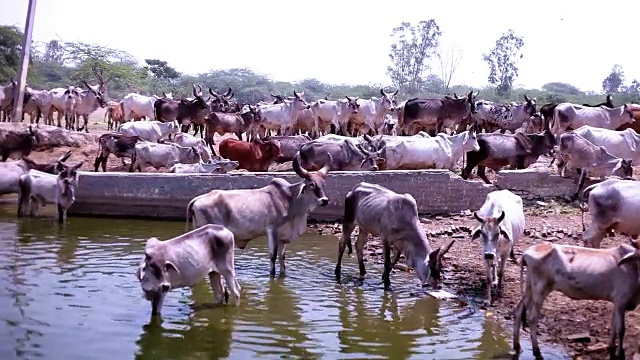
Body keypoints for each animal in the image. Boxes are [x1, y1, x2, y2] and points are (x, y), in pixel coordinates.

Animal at [185, 153, 332, 276]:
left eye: (324, 184)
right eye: (311, 184)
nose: (324, 200)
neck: (289, 199)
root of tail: (198, 199)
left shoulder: (282, 237)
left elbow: (282, 258)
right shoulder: (272, 230)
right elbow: (273, 256)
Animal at [512, 240, 640, 358]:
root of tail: (527, 252)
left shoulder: (616, 302)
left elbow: (613, 326)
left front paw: (612, 348)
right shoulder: (621, 300)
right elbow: (621, 329)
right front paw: (621, 354)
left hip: (530, 286)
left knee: (518, 310)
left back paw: (517, 346)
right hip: (540, 288)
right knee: (532, 317)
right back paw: (537, 351)